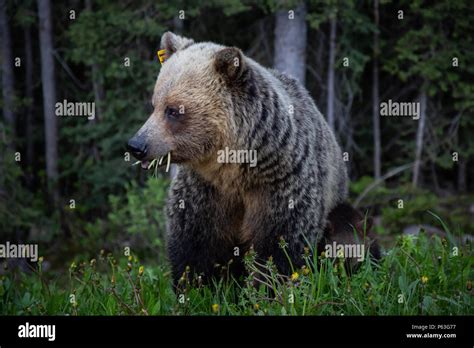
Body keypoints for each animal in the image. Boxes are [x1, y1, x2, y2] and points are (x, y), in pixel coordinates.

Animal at [126, 32, 348, 286]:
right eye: (154, 105)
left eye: (173, 110)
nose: (137, 145)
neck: (235, 167)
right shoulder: (206, 189)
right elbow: (193, 242)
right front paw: (195, 284)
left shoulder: (280, 183)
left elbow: (281, 245)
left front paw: (270, 285)